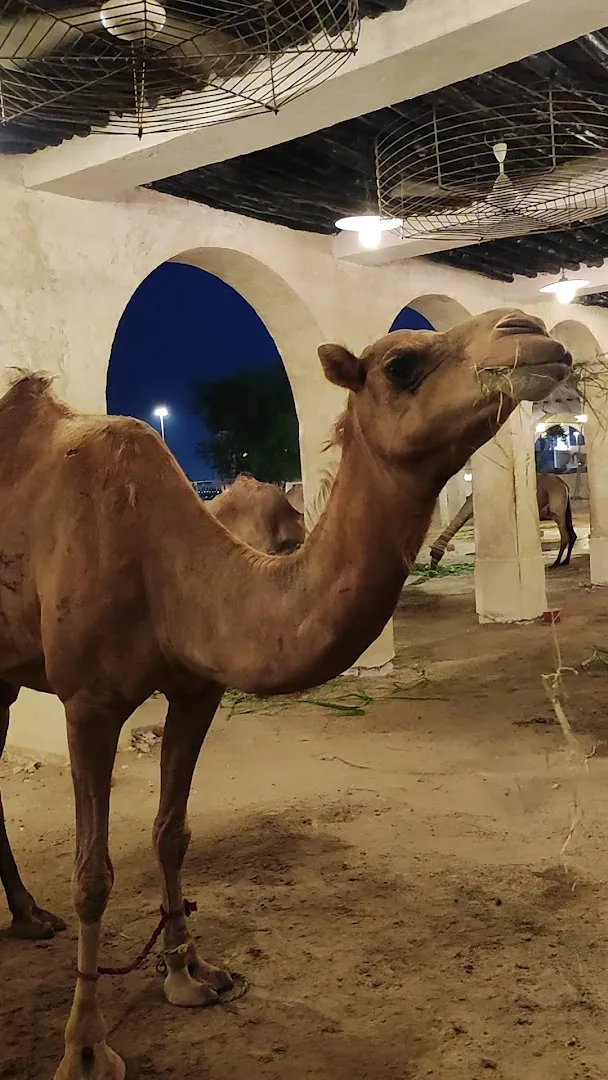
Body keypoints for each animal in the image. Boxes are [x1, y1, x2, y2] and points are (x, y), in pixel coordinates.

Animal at [429, 472, 577, 570]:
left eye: (433, 553)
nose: (432, 568)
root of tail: (564, 484)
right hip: (566, 509)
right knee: (572, 534)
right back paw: (565, 561)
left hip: (557, 510)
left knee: (565, 535)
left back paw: (555, 564)